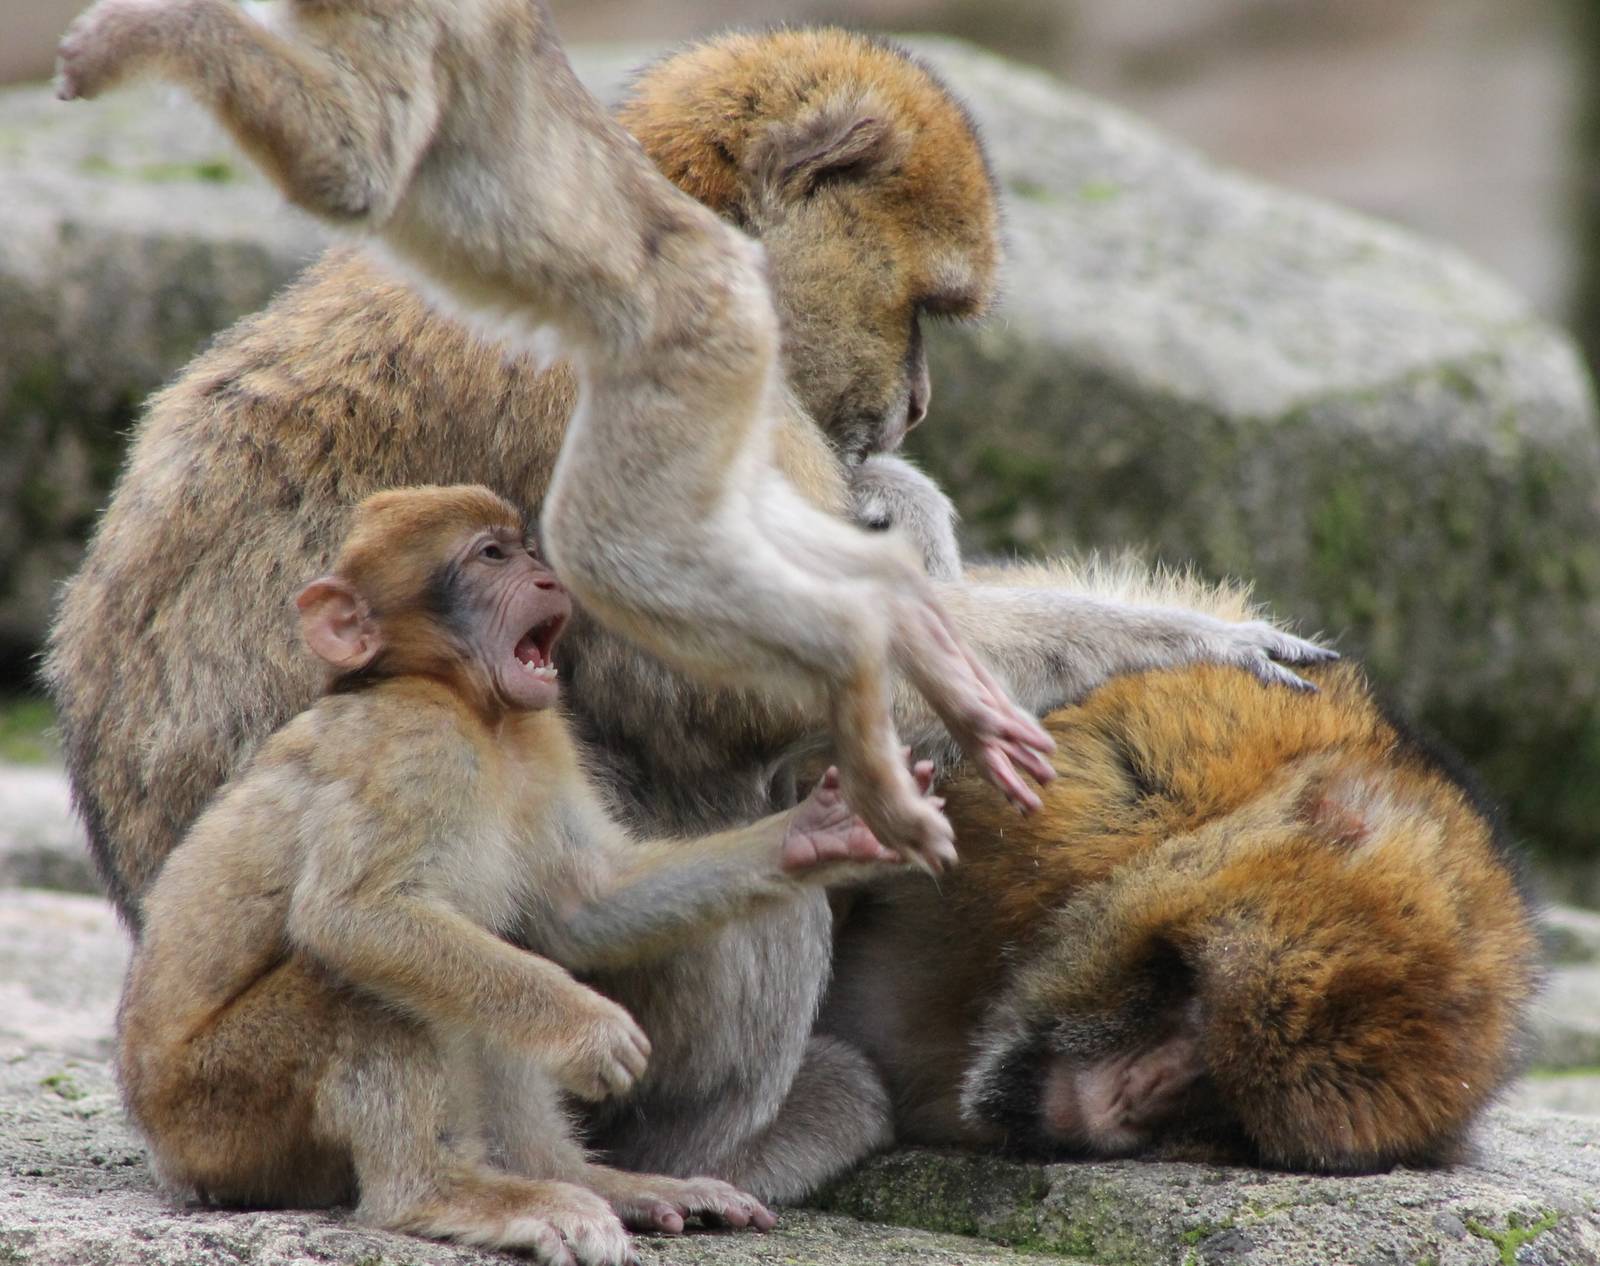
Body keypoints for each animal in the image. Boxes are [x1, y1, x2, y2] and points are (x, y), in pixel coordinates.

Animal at [118, 483, 929, 1260]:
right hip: (220, 1117)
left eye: (525, 548)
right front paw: (595, 1033)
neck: (475, 710)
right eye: (491, 556)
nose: (547, 577)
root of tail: (163, 1153)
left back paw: (581, 1178)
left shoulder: (542, 736)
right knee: (356, 984)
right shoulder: (411, 742)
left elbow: (584, 905)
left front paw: (821, 832)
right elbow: (354, 915)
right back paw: (443, 1194)